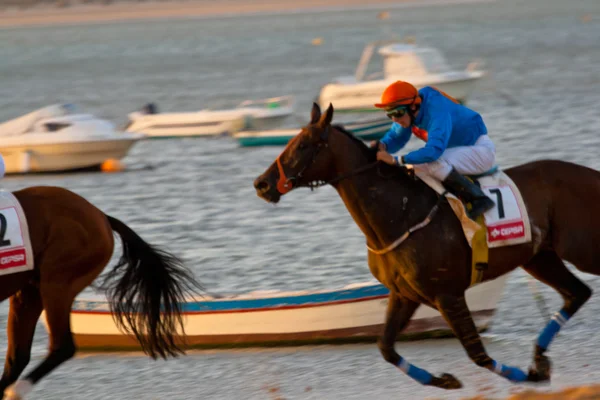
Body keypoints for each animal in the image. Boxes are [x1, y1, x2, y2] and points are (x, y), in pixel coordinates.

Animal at [0, 186, 203, 398]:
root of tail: (101, 215)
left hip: (57, 281)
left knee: (61, 347)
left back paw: (17, 390)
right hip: (31, 290)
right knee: (18, 356)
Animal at [253, 101, 600, 390]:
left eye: (303, 145)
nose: (262, 184)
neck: (401, 214)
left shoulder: (448, 295)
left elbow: (479, 355)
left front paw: (527, 374)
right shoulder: (404, 295)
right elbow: (386, 347)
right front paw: (444, 380)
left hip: (582, 250)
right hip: (540, 258)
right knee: (578, 293)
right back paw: (540, 355)